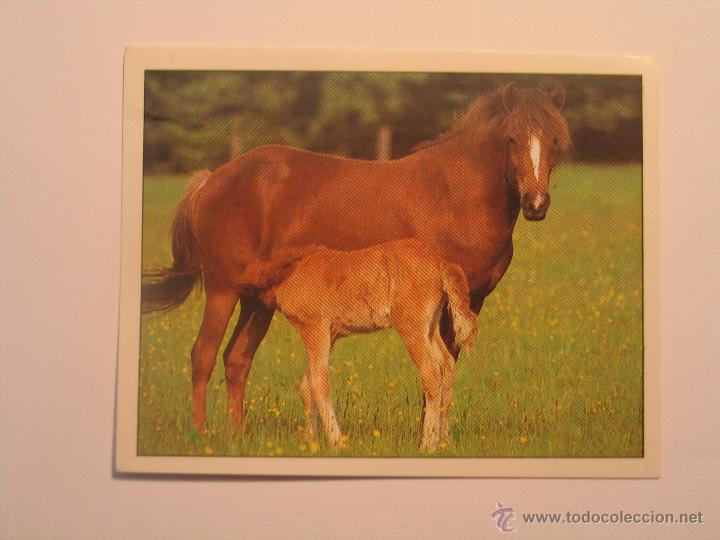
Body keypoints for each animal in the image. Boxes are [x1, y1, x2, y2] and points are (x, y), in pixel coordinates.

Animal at [258, 239, 477, 452]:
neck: (293, 267)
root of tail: (442, 263)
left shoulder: (314, 328)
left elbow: (318, 383)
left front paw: (336, 443)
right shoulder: (330, 335)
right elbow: (307, 384)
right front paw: (310, 441)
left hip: (412, 328)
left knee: (431, 373)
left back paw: (427, 445)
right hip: (430, 327)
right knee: (446, 364)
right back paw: (445, 441)